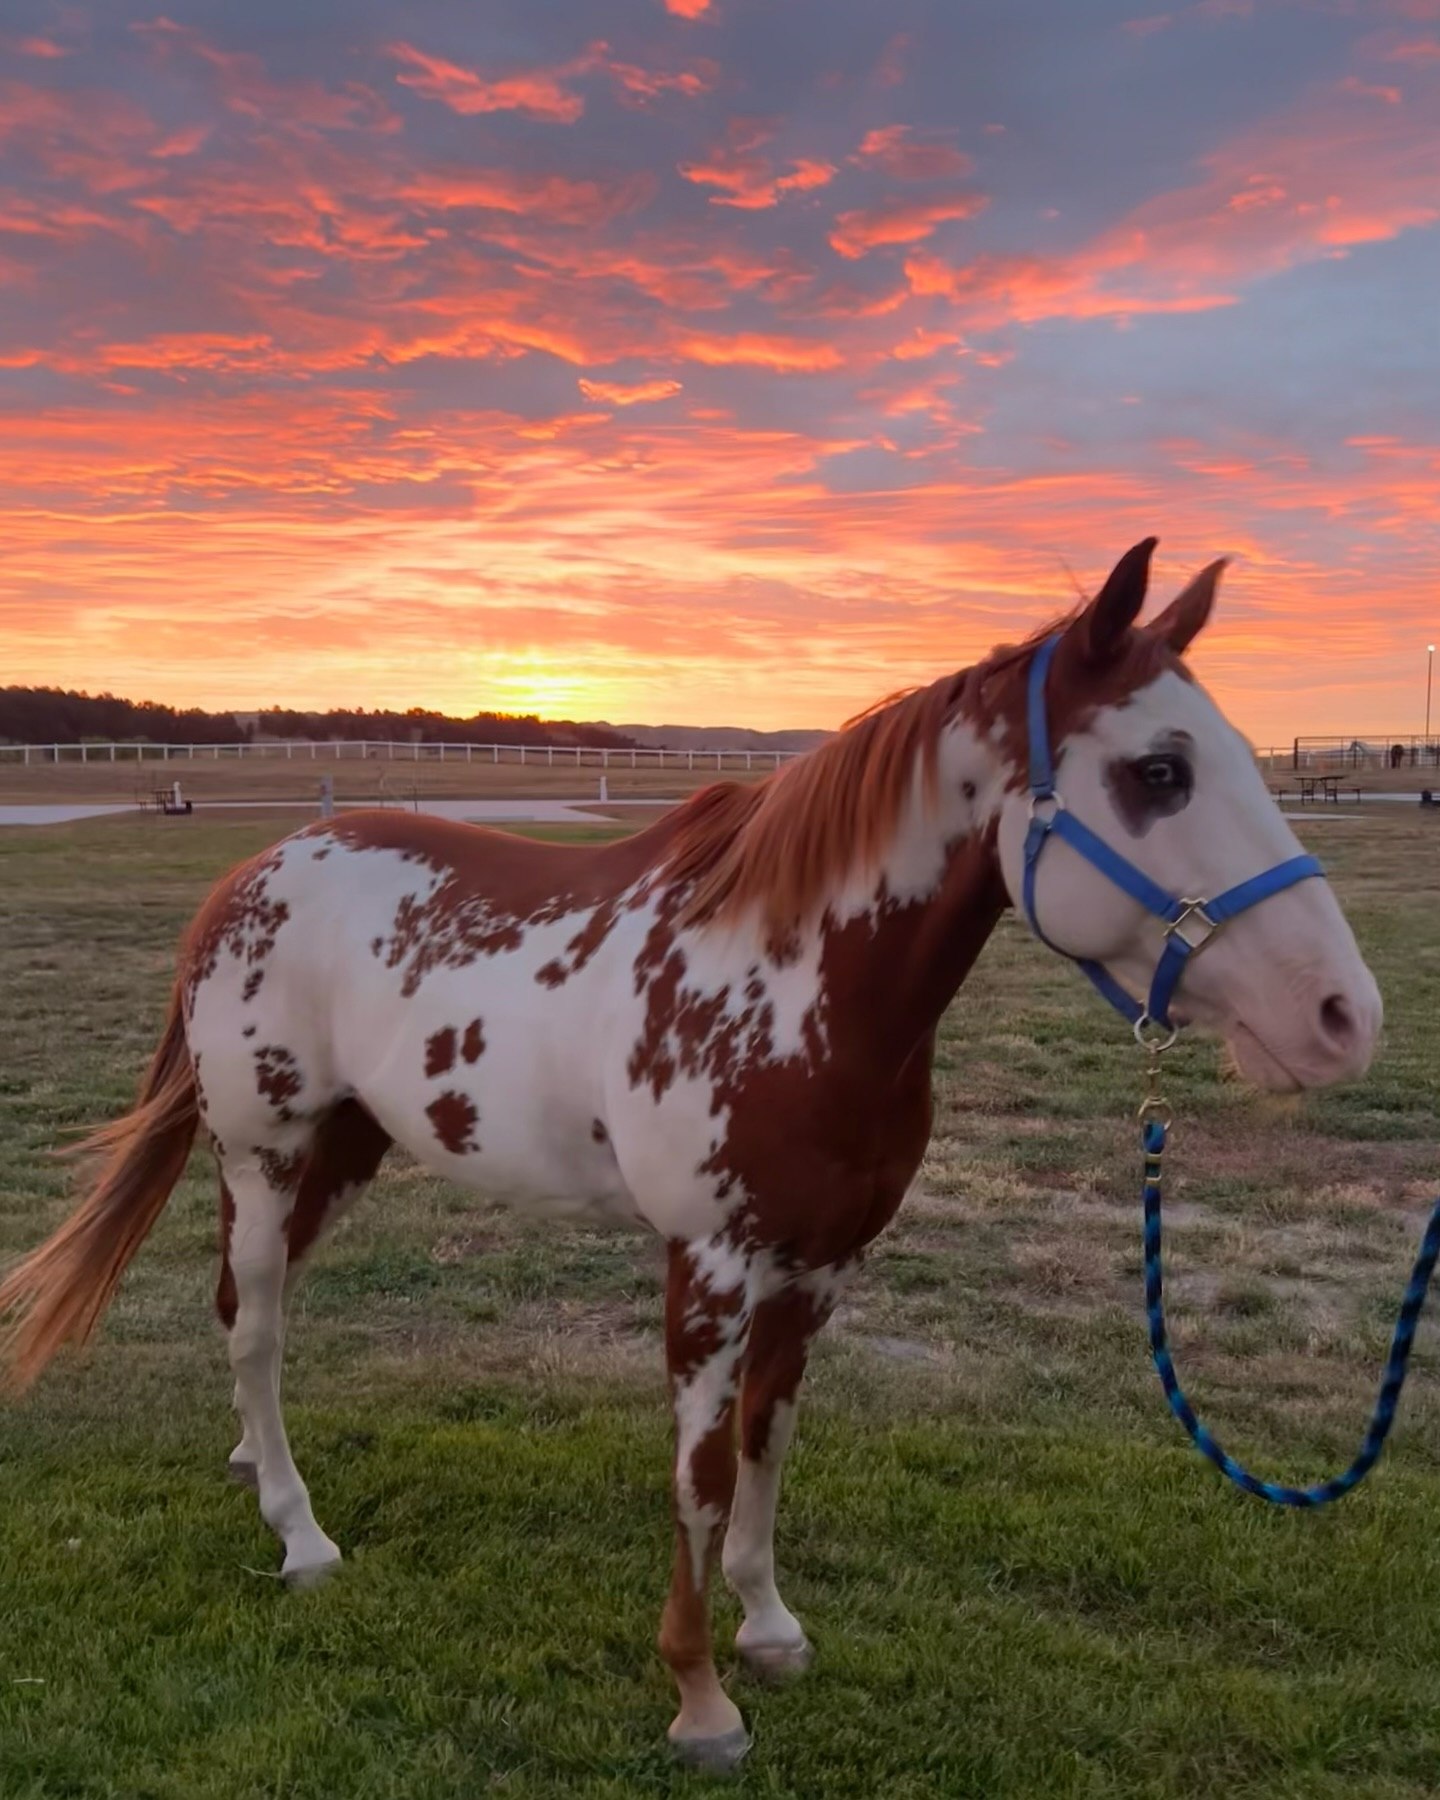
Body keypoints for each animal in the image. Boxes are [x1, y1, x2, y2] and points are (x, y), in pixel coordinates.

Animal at [0, 539, 1381, 1770]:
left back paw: (252, 1467)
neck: (793, 983)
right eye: (1160, 771)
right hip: (264, 1152)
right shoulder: (709, 1263)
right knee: (258, 1327)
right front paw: (701, 1699)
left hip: (340, 1156)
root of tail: (251, 874)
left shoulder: (819, 1266)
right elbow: (702, 1471)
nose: (1342, 1016)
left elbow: (768, 1442)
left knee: (239, 1306)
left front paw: (768, 1630)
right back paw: (302, 1536)